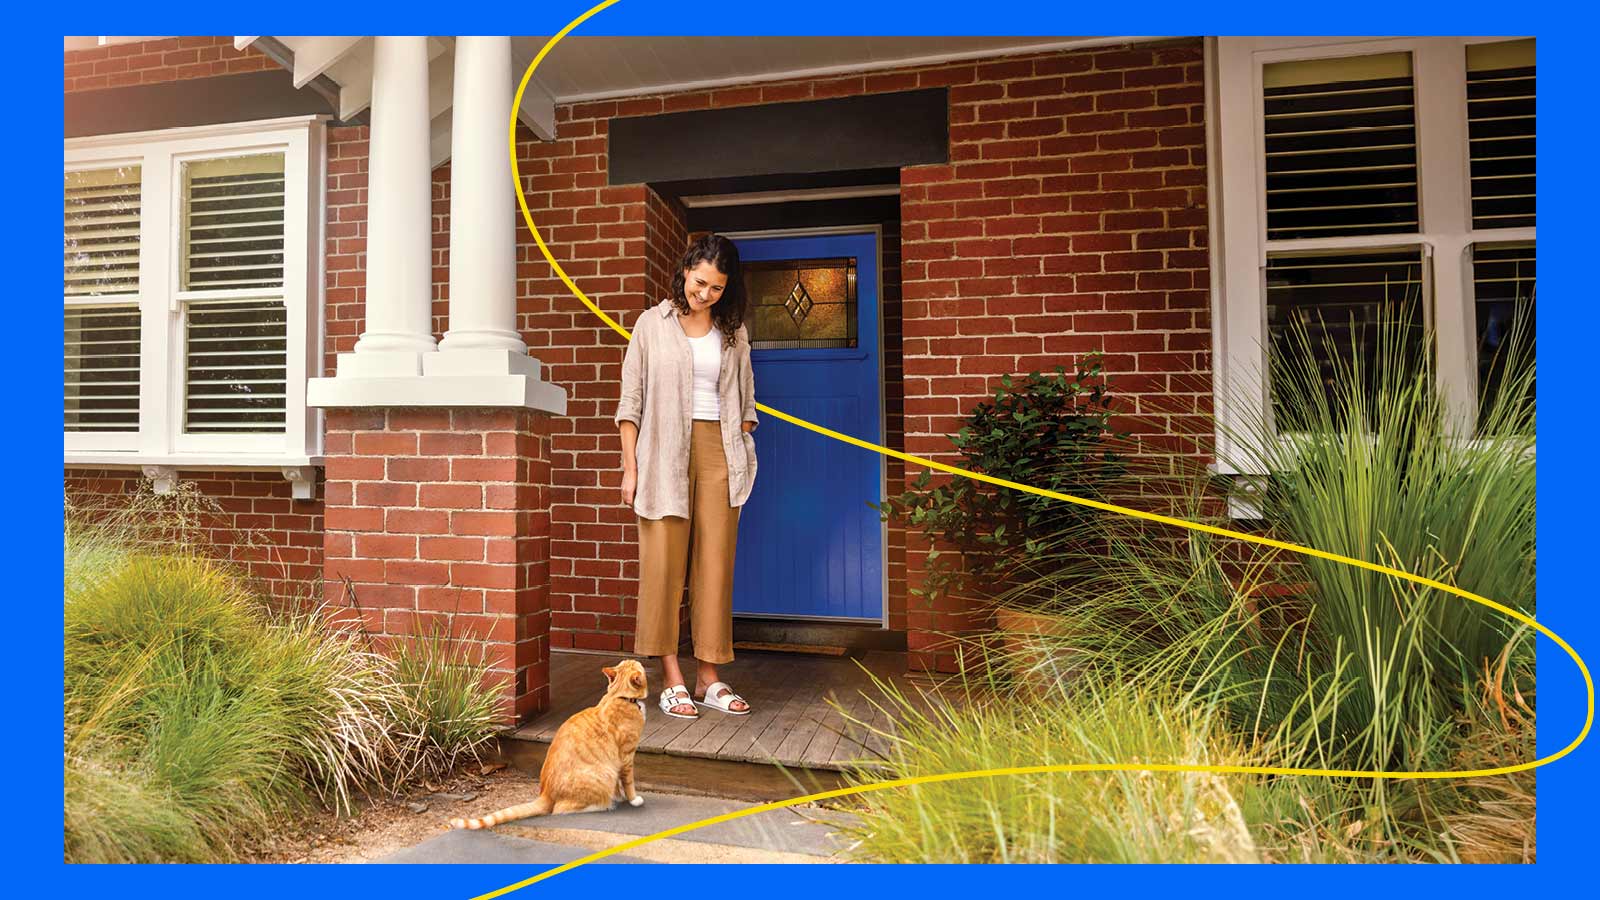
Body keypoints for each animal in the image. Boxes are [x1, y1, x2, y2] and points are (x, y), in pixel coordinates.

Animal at [448, 659, 646, 826]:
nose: (637, 658)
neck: (619, 697)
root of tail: (545, 793)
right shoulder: (626, 757)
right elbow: (628, 782)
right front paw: (633, 799)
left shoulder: (618, 763)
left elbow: (619, 785)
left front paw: (619, 796)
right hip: (604, 774)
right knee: (560, 809)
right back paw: (604, 805)